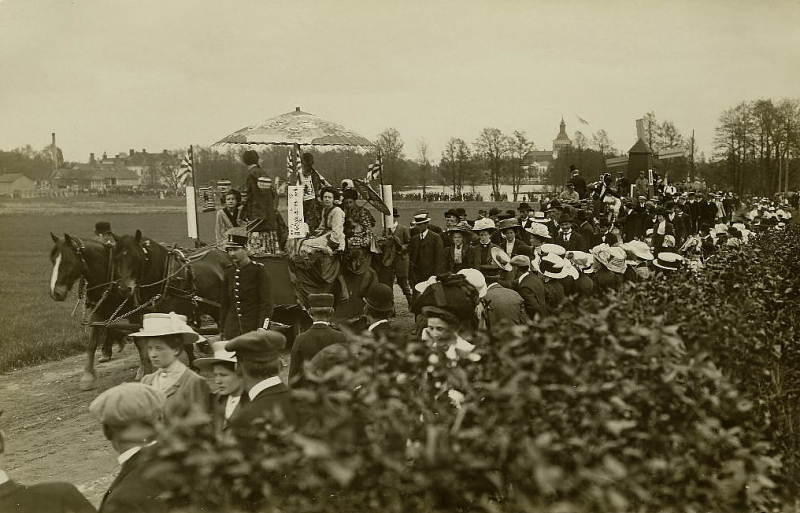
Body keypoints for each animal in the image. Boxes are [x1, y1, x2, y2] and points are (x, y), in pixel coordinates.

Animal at [49, 232, 148, 388]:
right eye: (53, 260)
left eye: (68, 262)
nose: (55, 293)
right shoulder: (98, 312)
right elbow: (92, 343)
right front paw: (87, 376)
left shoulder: (136, 313)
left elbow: (139, 341)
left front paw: (143, 370)